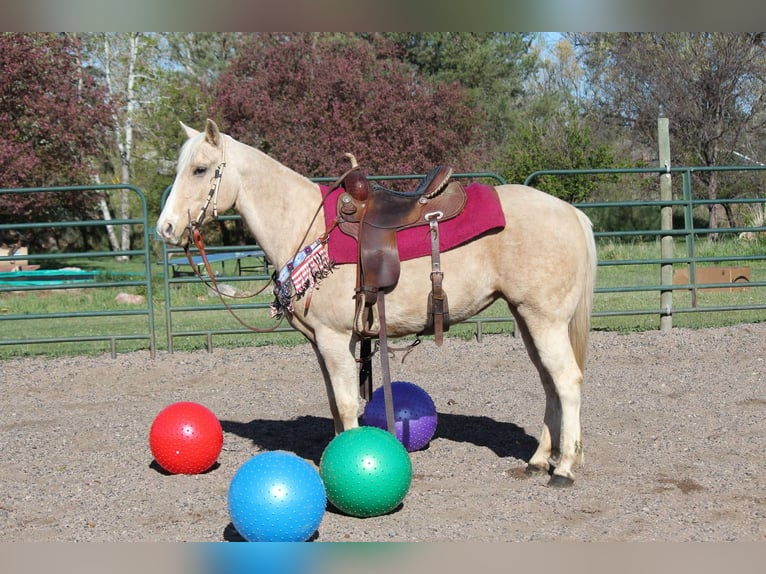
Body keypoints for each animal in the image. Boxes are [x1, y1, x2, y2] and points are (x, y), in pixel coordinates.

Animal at [156, 119, 597, 487]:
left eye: (199, 169)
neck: (305, 227)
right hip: (527, 318)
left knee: (566, 381)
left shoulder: (335, 339)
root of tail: (571, 213)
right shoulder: (324, 343)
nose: (166, 228)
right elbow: (335, 404)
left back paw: (563, 469)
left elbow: (347, 403)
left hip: (545, 320)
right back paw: (538, 461)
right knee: (548, 382)